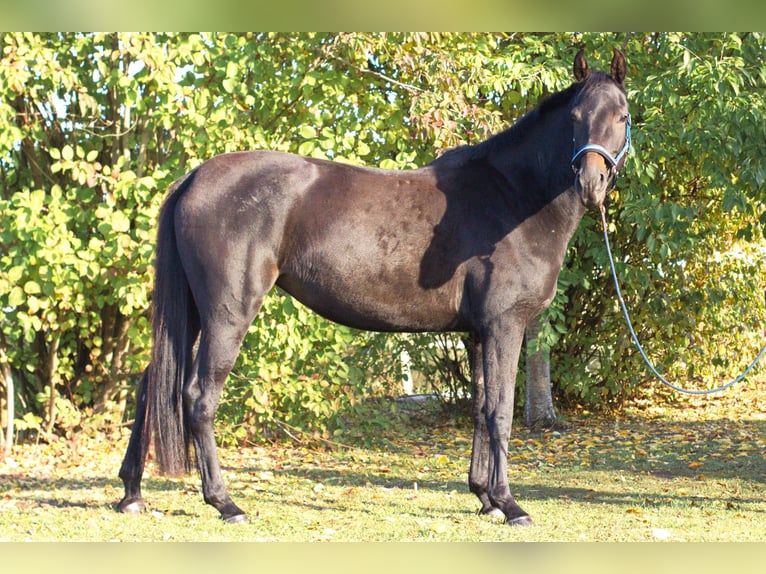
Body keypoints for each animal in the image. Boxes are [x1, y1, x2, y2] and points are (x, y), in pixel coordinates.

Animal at [117, 48, 631, 526]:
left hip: (192, 314)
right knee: (199, 397)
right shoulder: (505, 325)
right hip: (227, 313)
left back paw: (131, 494)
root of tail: (193, 178)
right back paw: (225, 503)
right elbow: (500, 411)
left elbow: (481, 409)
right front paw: (509, 504)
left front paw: (485, 497)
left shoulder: (477, 333)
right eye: (575, 119)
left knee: (150, 383)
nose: (591, 183)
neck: (512, 197)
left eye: (622, 116)